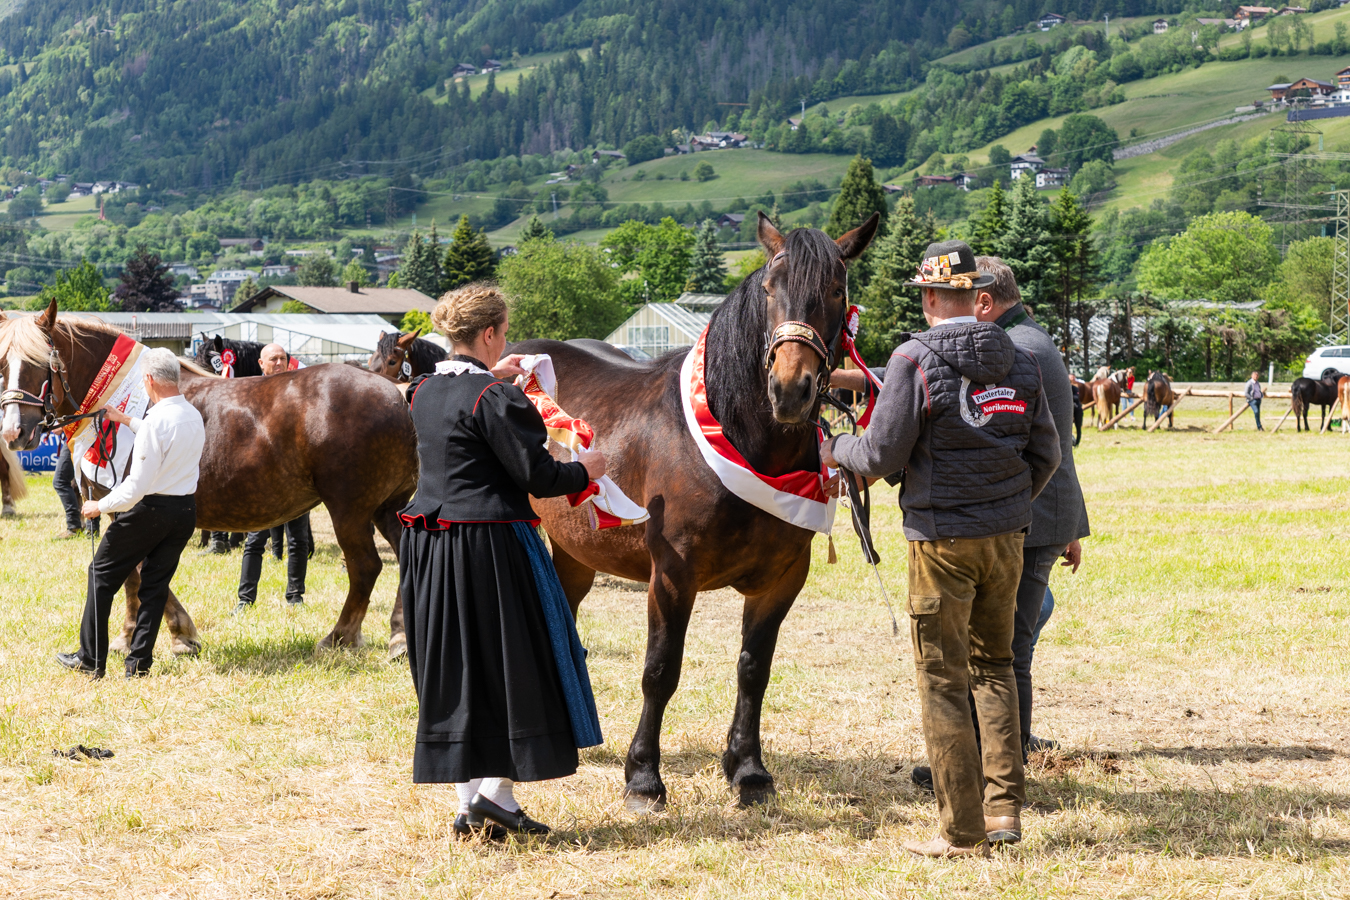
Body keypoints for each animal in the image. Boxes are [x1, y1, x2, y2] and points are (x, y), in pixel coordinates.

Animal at [2, 302, 419, 654]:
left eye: (41, 363)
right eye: (3, 364)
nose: (14, 431)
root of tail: (398, 393)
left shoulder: (129, 507)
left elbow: (135, 573)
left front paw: (168, 634)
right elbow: (138, 575)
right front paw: (148, 634)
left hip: (350, 509)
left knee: (365, 567)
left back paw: (339, 637)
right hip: (387, 507)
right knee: (403, 558)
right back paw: (400, 637)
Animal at [511, 212, 879, 810]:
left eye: (835, 290)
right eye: (769, 289)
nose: (790, 390)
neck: (738, 441)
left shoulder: (782, 579)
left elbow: (754, 670)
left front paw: (748, 770)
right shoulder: (672, 576)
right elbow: (661, 670)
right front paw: (643, 777)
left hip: (573, 552)